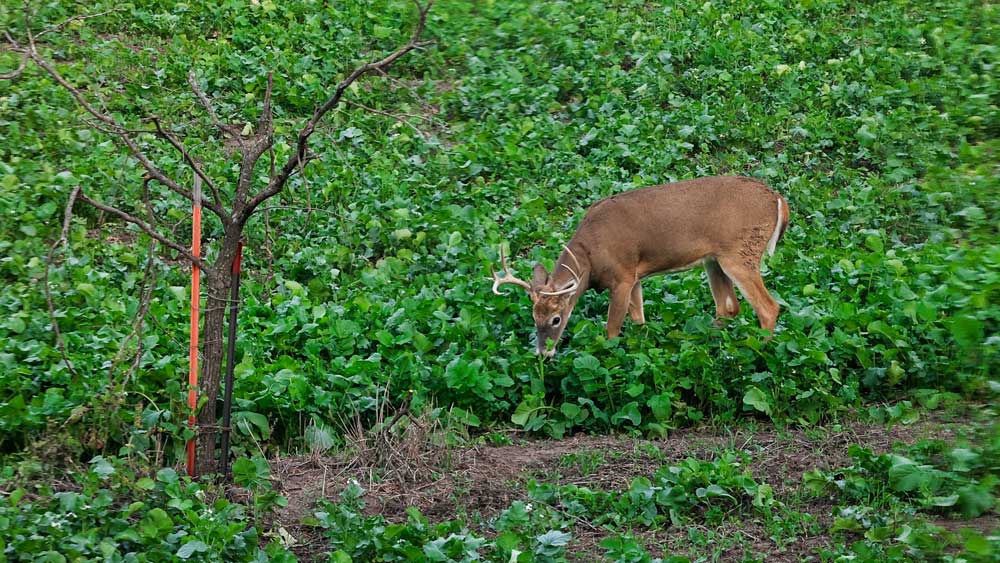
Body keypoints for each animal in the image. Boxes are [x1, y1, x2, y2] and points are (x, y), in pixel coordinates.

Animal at [492, 176, 788, 356]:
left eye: (556, 318)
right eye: (534, 317)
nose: (544, 353)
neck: (590, 256)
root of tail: (778, 200)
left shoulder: (622, 276)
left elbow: (612, 329)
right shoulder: (635, 276)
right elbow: (639, 321)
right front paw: (642, 351)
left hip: (739, 253)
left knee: (768, 307)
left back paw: (760, 352)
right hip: (714, 260)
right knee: (728, 307)